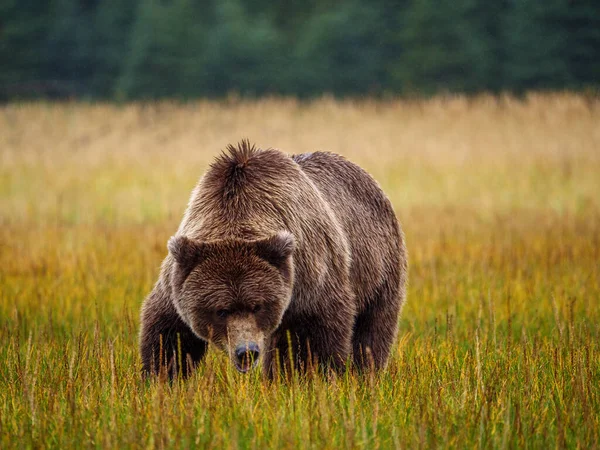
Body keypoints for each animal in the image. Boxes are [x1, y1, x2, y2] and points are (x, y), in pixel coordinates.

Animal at [139, 140, 408, 376]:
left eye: (257, 305)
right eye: (221, 310)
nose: (246, 352)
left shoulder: (310, 276)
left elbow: (317, 337)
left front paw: (315, 377)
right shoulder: (177, 280)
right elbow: (166, 334)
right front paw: (162, 376)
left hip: (379, 268)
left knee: (371, 332)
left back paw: (366, 373)